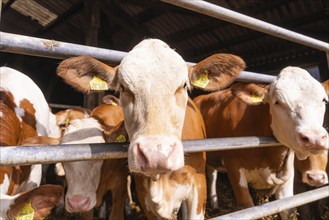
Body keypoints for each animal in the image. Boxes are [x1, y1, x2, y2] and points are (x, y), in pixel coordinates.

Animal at [193, 66, 326, 219]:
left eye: (323, 100)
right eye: (277, 101)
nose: (314, 138)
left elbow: (288, 209)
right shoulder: (234, 168)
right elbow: (248, 208)